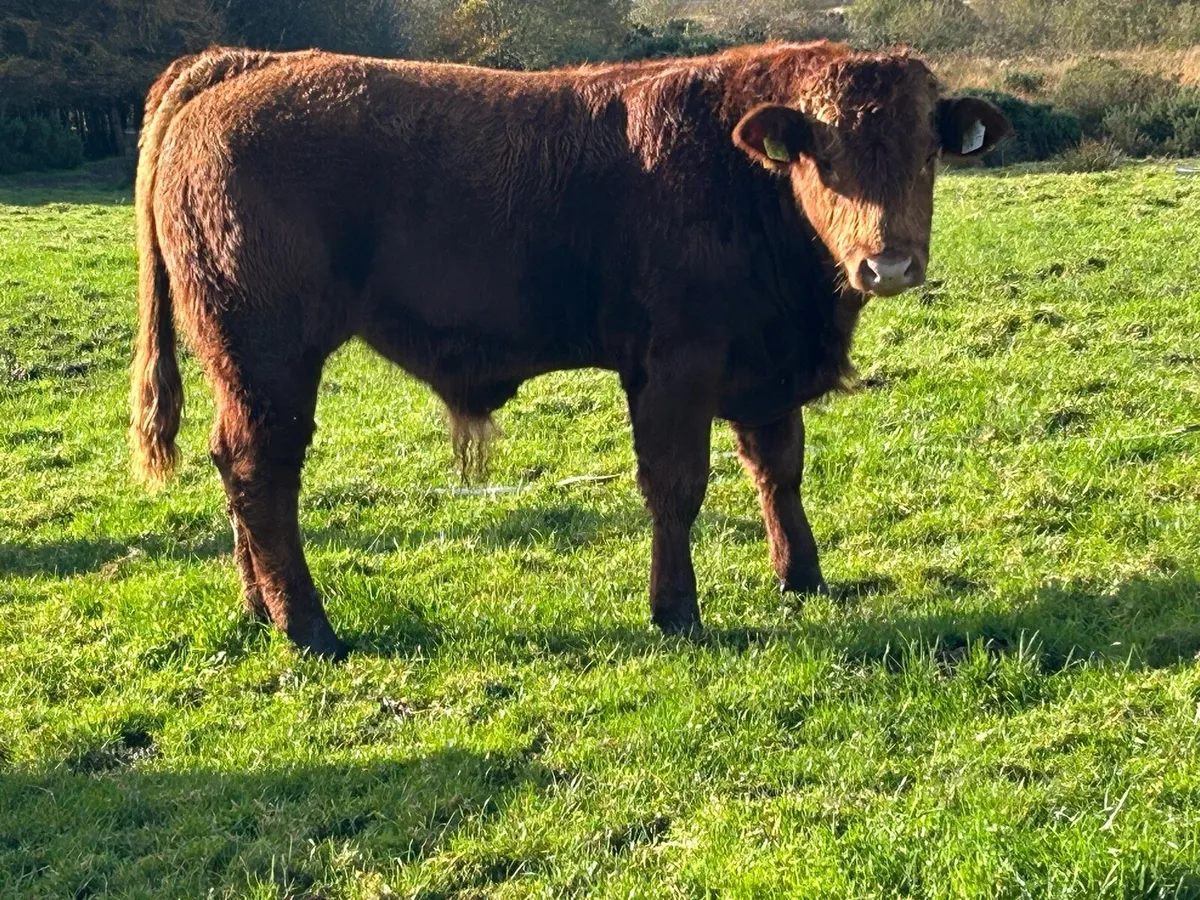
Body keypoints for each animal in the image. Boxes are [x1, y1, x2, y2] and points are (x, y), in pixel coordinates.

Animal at [130, 41, 1010, 659]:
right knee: (263, 473)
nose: (888, 263)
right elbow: (676, 488)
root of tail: (245, 64)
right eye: (823, 157)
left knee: (235, 467)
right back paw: (309, 627)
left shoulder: (764, 372)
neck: (738, 173)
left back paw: (258, 608)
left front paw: (802, 577)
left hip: (240, 366)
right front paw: (676, 612)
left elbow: (779, 470)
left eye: (925, 152)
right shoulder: (674, 370)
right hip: (271, 359)